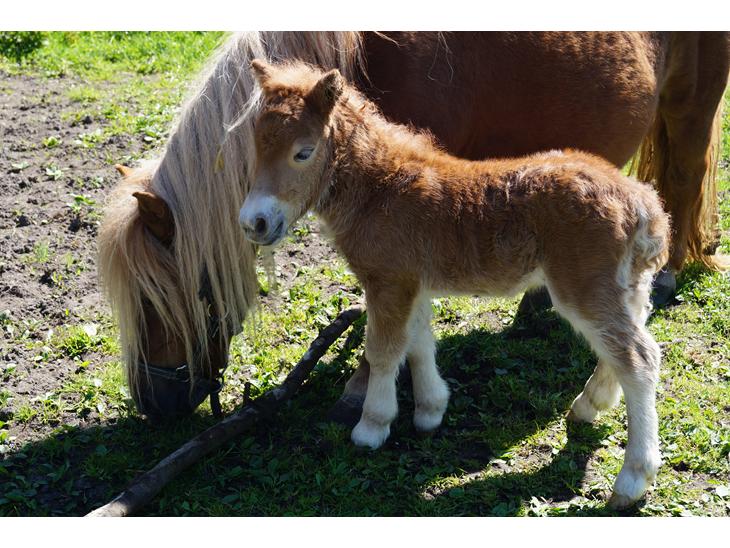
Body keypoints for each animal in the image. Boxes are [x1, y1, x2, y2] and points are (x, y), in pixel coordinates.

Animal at [98, 31, 728, 419]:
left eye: (162, 298)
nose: (155, 404)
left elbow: (387, 322)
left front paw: (362, 392)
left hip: (692, 104)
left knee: (685, 174)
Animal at [239, 58, 671, 508]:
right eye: (255, 147)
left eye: (303, 152)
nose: (254, 224)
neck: (379, 190)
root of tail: (642, 203)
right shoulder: (413, 282)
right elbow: (418, 342)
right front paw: (431, 410)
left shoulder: (387, 280)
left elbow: (383, 351)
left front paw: (372, 427)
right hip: (625, 285)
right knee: (630, 341)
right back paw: (590, 404)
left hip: (584, 287)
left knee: (639, 358)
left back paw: (633, 479)